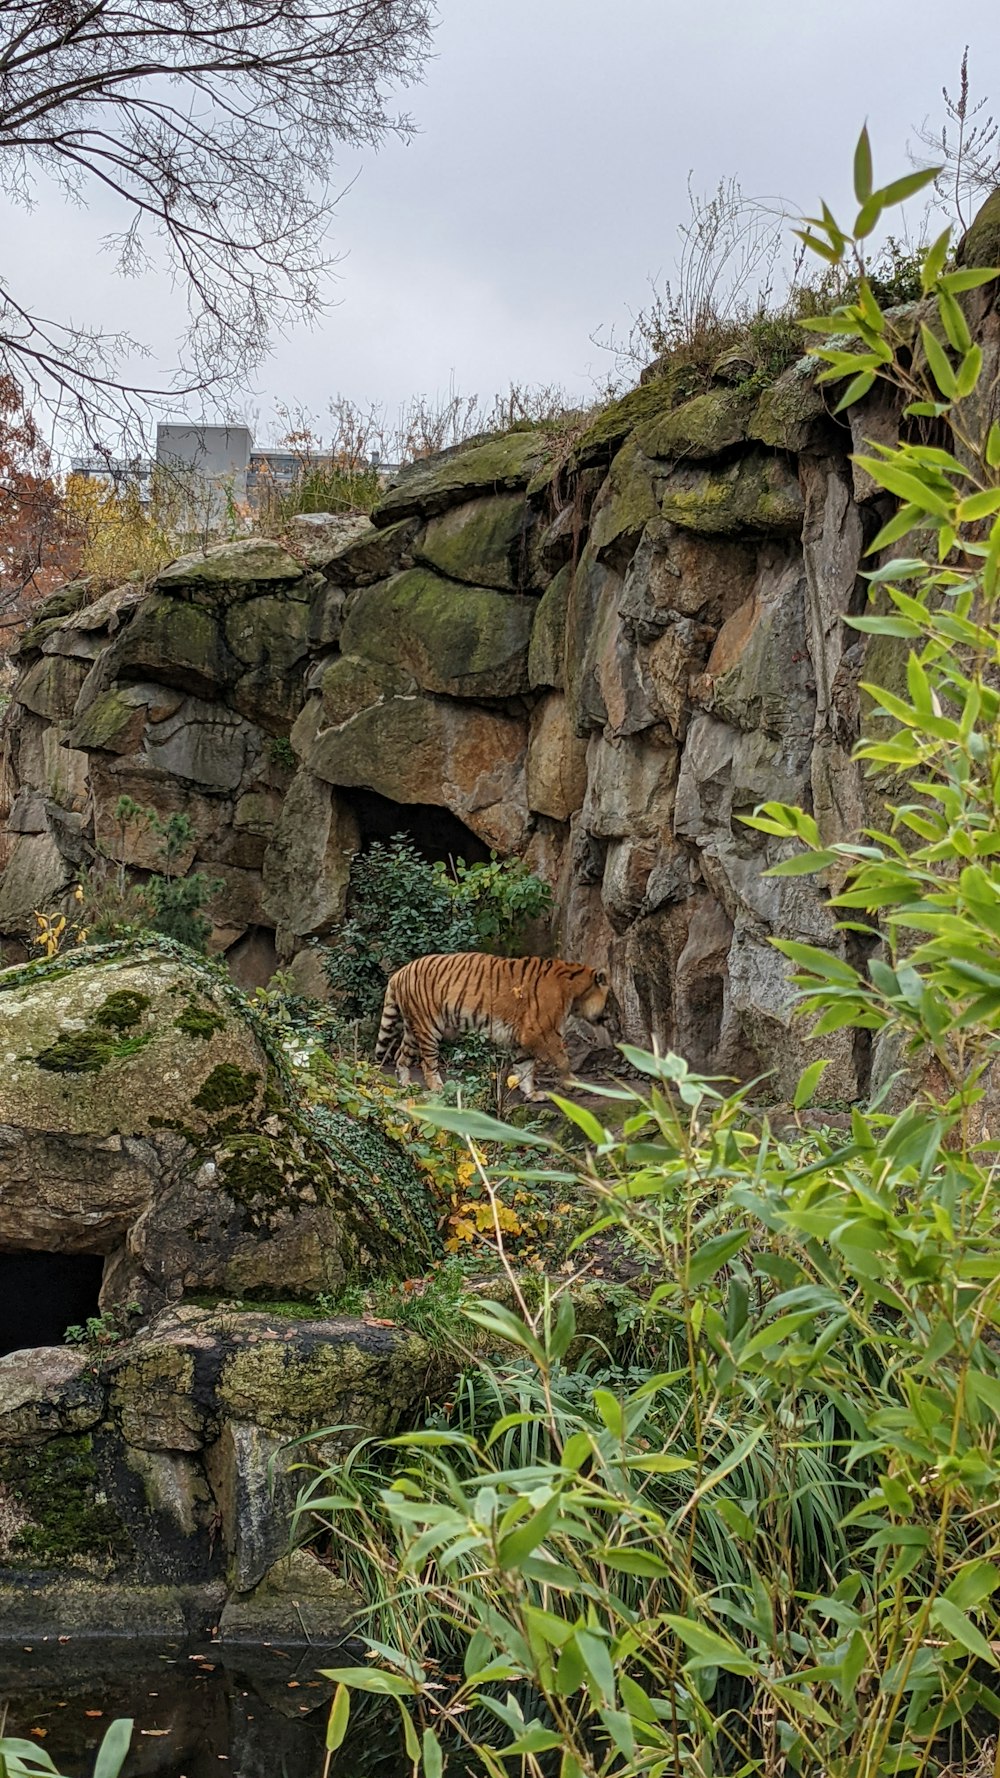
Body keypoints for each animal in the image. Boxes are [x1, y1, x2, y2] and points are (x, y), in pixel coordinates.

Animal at [373, 960, 608, 1095]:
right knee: (427, 1062)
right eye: (610, 1000)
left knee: (401, 1057)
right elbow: (562, 1060)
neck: (576, 990)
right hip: (428, 1026)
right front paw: (573, 1083)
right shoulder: (541, 1032)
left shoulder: (522, 1038)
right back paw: (437, 1087)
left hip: (413, 1028)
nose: (608, 1019)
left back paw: (406, 1086)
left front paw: (531, 1094)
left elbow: (525, 1067)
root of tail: (399, 972)